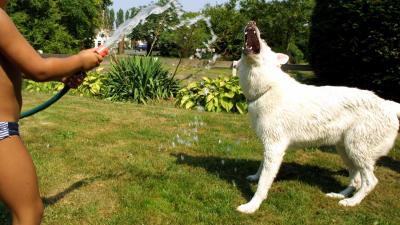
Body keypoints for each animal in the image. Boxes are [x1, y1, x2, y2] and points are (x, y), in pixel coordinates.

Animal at [236, 21, 398, 214]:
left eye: (266, 43)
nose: (251, 23)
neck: (266, 89)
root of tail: (388, 104)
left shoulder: (275, 147)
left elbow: (263, 184)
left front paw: (252, 206)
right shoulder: (268, 145)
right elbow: (261, 167)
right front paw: (254, 176)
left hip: (357, 150)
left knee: (370, 182)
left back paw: (351, 202)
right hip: (345, 150)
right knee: (357, 180)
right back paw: (339, 195)